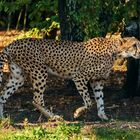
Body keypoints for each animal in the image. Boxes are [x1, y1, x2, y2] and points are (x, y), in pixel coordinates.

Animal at [0, 37, 139, 120]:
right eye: (134, 45)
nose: (139, 52)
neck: (115, 52)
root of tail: (12, 43)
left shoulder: (98, 81)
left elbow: (100, 100)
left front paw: (103, 116)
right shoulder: (79, 77)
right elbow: (89, 102)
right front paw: (77, 113)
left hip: (18, 78)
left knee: (2, 95)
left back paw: (2, 118)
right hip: (40, 72)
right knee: (36, 99)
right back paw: (54, 117)